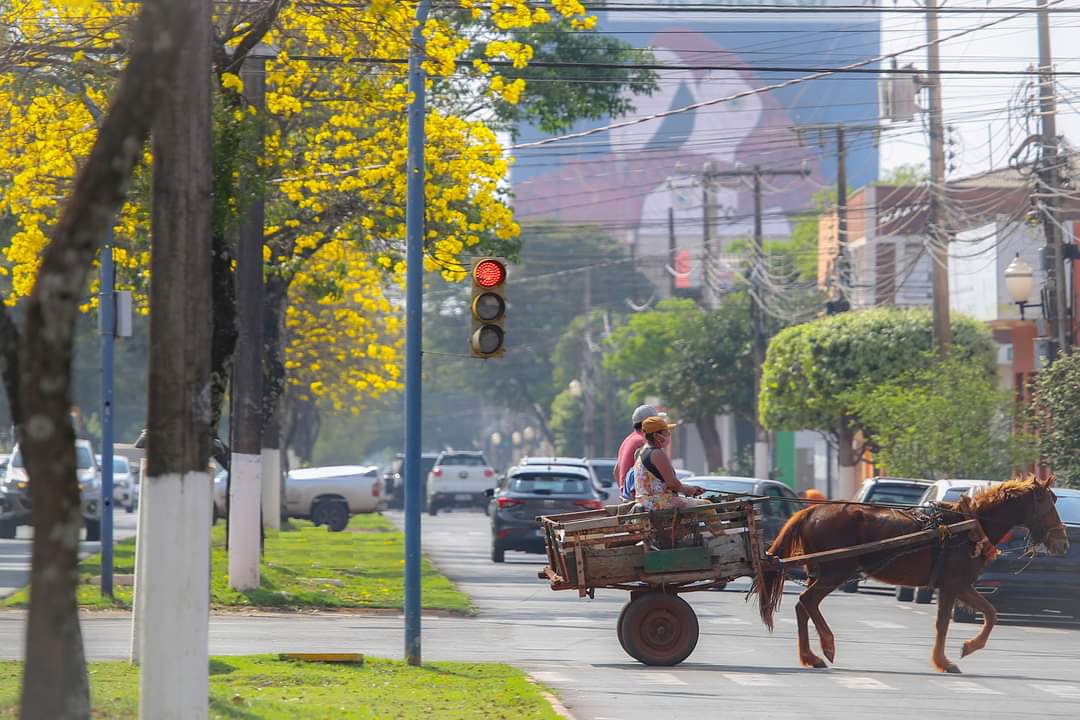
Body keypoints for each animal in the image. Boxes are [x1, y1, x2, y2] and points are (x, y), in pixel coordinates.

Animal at [756, 474, 1067, 673]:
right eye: (1048, 506)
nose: (1063, 542)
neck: (969, 525)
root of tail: (810, 512)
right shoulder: (952, 584)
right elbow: (944, 623)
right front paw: (944, 661)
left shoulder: (962, 585)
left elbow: (990, 613)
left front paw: (968, 646)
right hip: (836, 572)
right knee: (807, 602)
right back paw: (826, 646)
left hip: (822, 572)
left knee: (803, 607)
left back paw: (810, 656)